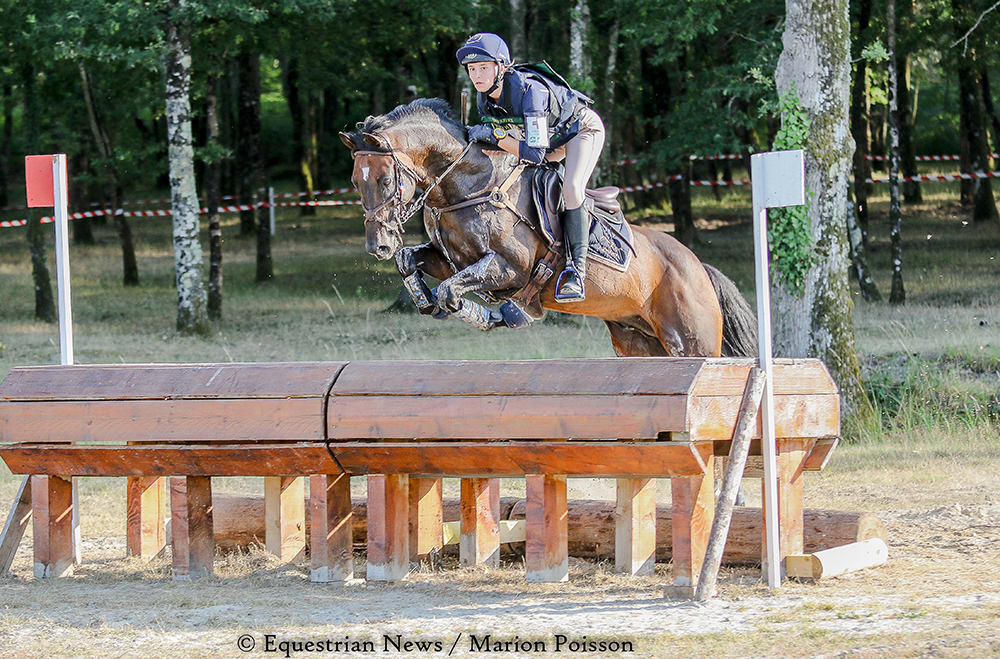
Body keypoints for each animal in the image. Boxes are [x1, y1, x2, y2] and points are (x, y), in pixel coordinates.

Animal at [340, 96, 752, 360]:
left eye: (385, 180)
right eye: (355, 181)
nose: (377, 246)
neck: (466, 186)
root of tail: (699, 267)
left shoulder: (510, 268)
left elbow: (451, 290)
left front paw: (485, 313)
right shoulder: (451, 259)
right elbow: (412, 261)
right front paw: (423, 297)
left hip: (693, 341)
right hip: (640, 341)